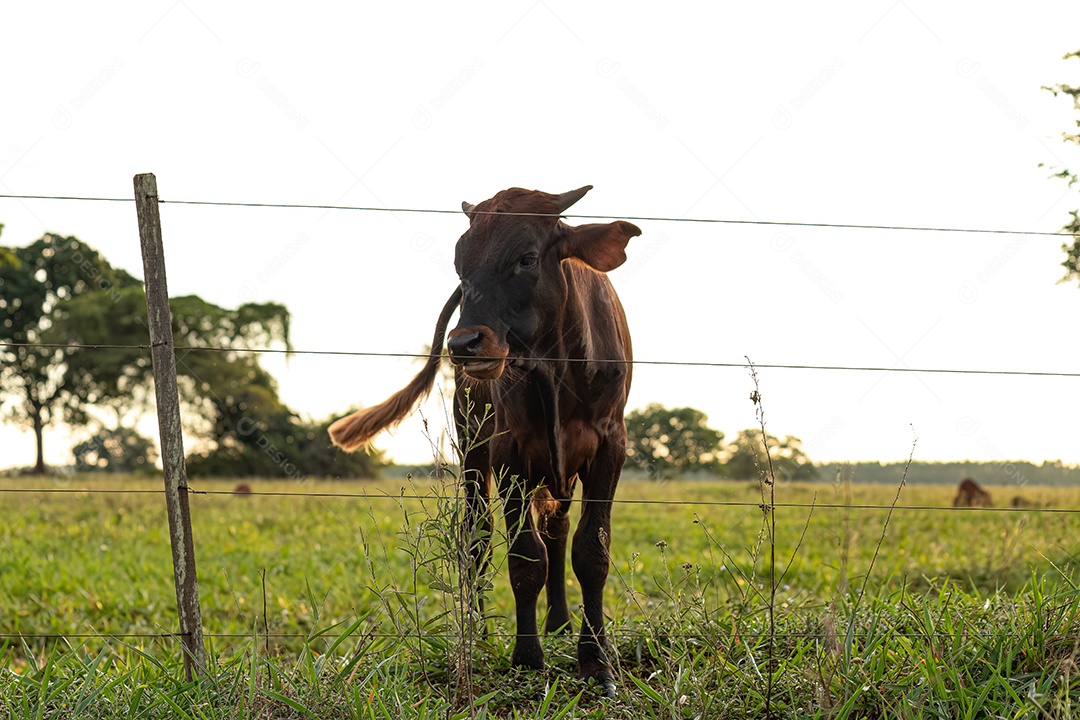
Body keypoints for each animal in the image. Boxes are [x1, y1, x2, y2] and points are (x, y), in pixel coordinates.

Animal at [328, 185, 638, 696]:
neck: (556, 368)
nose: (463, 343)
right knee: (476, 536)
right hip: (473, 447)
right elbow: (525, 559)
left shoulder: (610, 446)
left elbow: (591, 551)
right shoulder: (512, 453)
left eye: (527, 258)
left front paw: (595, 662)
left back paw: (558, 621)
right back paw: (479, 632)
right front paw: (527, 658)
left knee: (557, 531)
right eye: (460, 264)